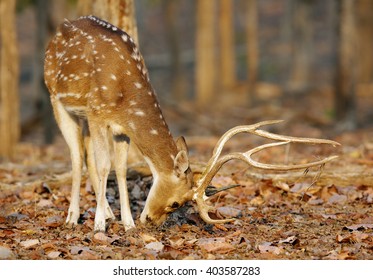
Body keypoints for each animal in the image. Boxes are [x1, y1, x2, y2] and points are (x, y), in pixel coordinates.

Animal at [45, 14, 338, 232]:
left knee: (86, 153)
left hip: (82, 115)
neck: (125, 93)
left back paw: (106, 213)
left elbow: (119, 168)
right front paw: (99, 226)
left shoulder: (121, 129)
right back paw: (73, 217)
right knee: (76, 156)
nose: (150, 221)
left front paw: (126, 223)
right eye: (176, 203)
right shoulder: (97, 113)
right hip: (56, 98)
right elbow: (104, 165)